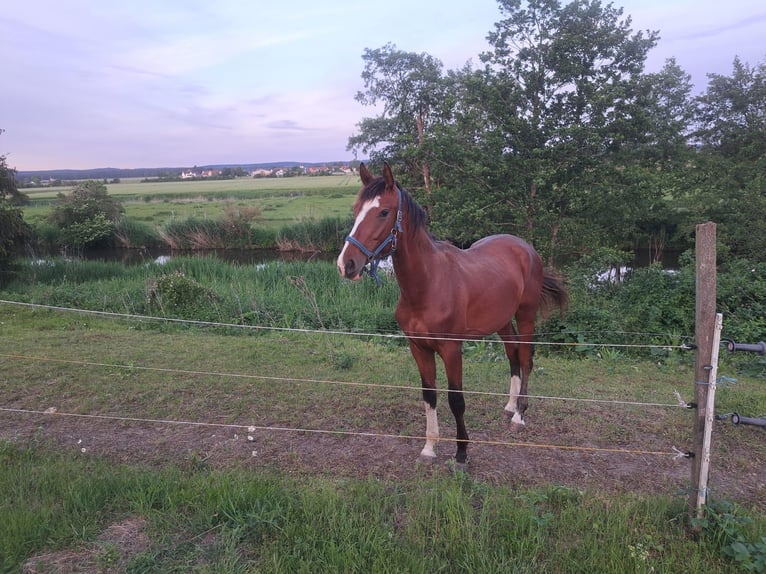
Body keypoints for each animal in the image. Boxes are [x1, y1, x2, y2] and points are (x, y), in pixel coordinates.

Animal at [337, 162, 568, 467]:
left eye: (383, 212)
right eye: (355, 210)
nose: (346, 264)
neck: (428, 284)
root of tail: (525, 247)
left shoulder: (451, 349)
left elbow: (456, 399)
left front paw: (461, 452)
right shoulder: (419, 348)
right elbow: (429, 395)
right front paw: (429, 448)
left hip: (525, 315)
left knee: (526, 357)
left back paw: (519, 415)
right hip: (503, 320)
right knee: (512, 354)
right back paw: (509, 406)